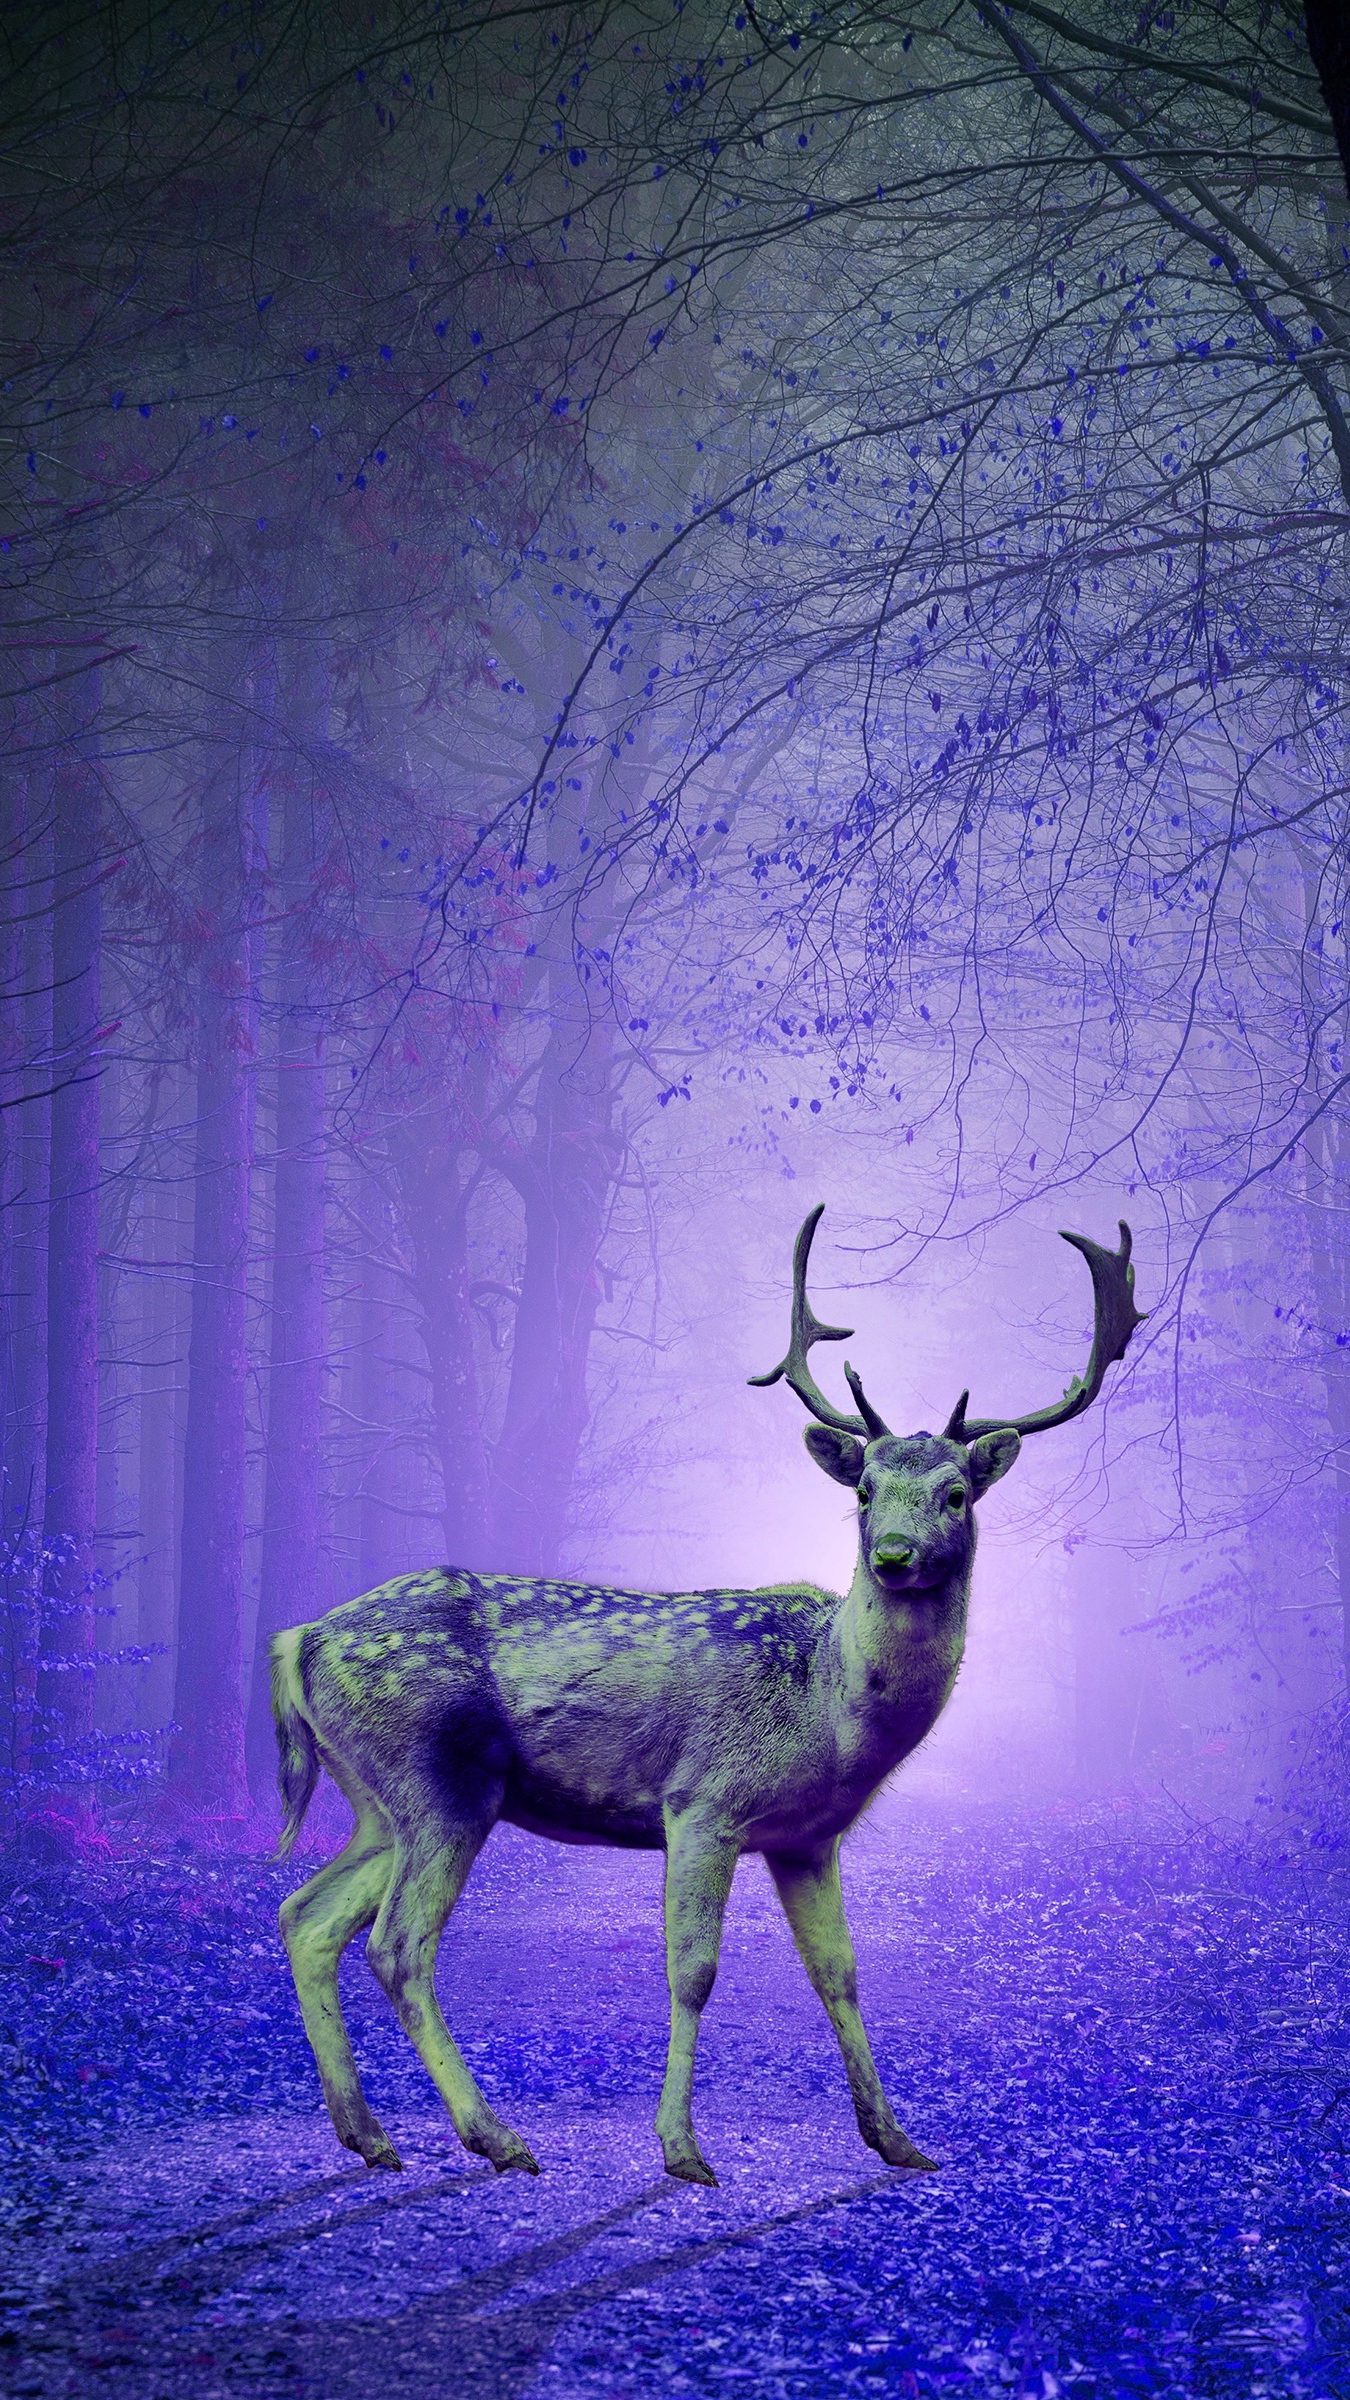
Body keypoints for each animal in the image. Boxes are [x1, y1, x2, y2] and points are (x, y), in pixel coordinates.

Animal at [272, 1206, 1145, 2187]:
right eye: (865, 1490)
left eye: (957, 1494)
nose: (892, 1556)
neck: (829, 1714)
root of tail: (296, 1639)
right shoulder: (703, 1802)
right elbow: (692, 1971)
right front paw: (682, 2148)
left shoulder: (807, 1837)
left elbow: (840, 1973)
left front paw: (896, 2139)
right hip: (438, 1780)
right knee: (396, 1947)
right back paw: (495, 2136)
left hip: (378, 1798)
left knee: (306, 1918)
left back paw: (369, 2135)